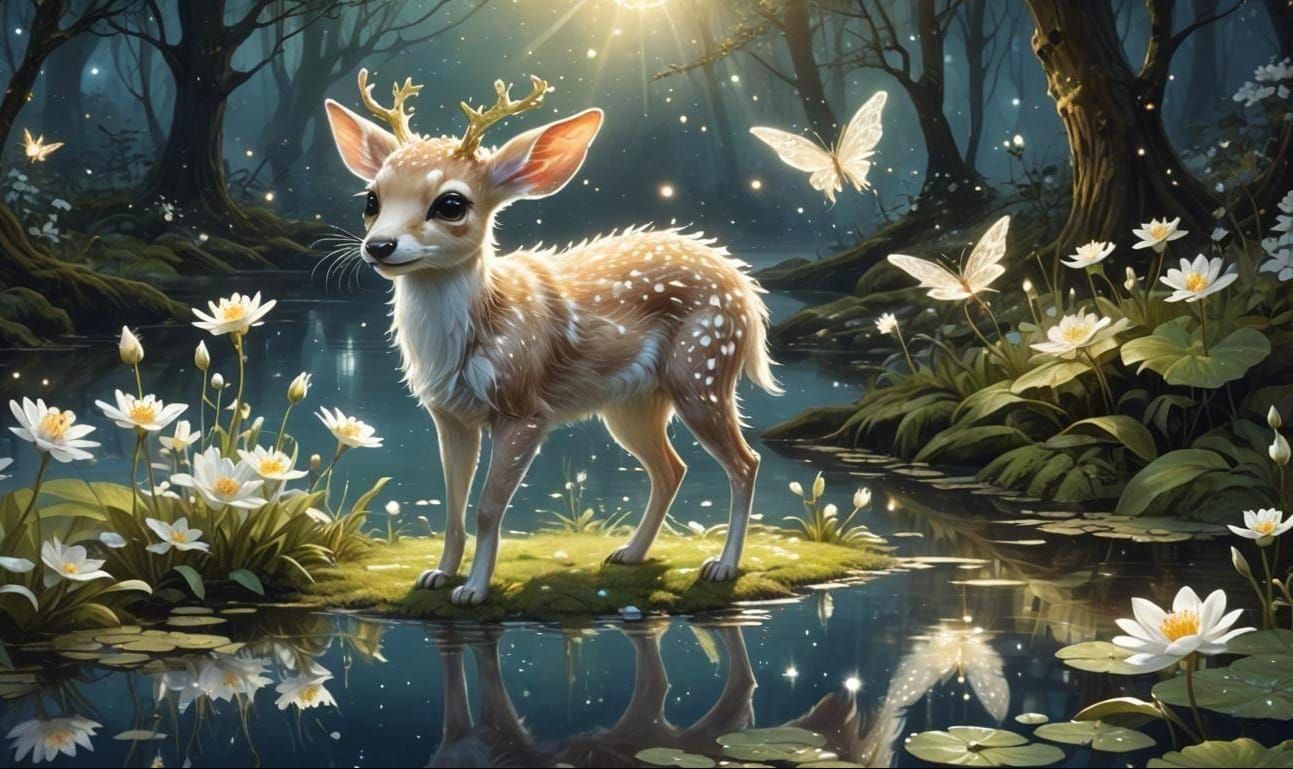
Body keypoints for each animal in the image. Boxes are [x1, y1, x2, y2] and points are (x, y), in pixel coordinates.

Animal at [323, 69, 780, 606]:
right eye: (371, 199)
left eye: (451, 204)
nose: (379, 246)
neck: (476, 329)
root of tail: (745, 288)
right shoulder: (449, 414)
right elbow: (454, 504)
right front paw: (438, 575)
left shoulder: (524, 410)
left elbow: (487, 506)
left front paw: (474, 590)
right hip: (633, 402)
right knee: (671, 468)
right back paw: (630, 554)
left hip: (703, 369)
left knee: (745, 462)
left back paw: (723, 566)